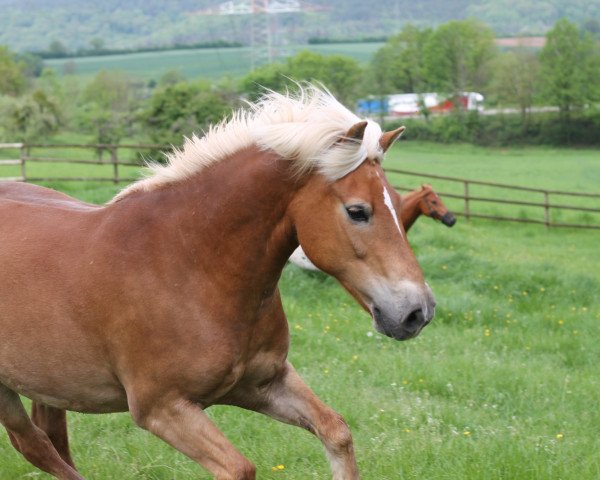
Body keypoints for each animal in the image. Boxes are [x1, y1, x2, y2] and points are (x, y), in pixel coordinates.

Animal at [0, 87, 436, 480]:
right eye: (358, 211)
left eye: (397, 202)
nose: (418, 312)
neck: (189, 265)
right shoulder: (162, 408)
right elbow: (240, 469)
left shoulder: (264, 383)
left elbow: (337, 432)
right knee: (35, 444)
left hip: (49, 382)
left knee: (51, 439)